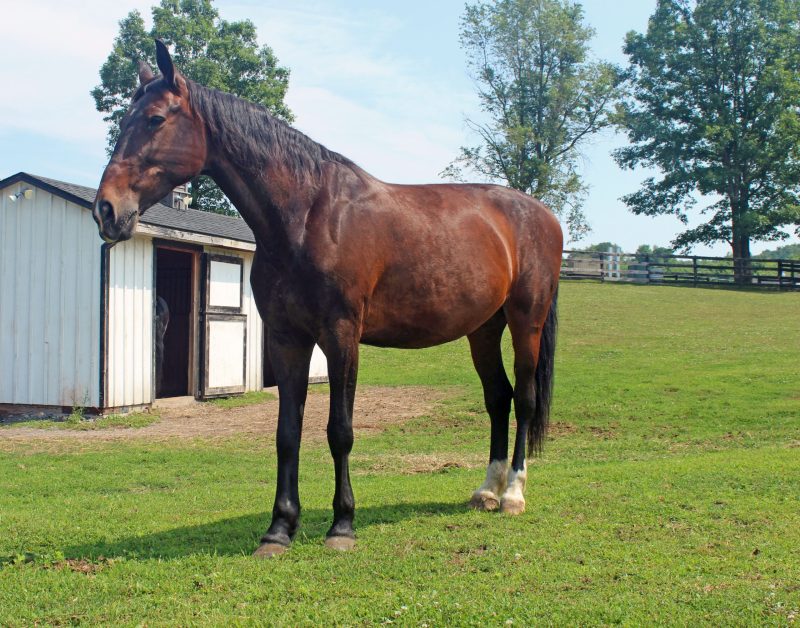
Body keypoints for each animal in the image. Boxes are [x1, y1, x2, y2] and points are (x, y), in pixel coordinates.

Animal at [93, 40, 563, 557]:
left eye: (155, 118)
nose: (106, 209)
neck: (308, 215)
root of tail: (541, 214)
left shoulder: (341, 336)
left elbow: (340, 430)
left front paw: (342, 525)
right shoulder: (286, 338)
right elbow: (287, 433)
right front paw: (279, 528)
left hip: (526, 322)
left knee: (524, 397)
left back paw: (513, 493)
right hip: (482, 329)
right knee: (498, 398)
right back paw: (486, 491)